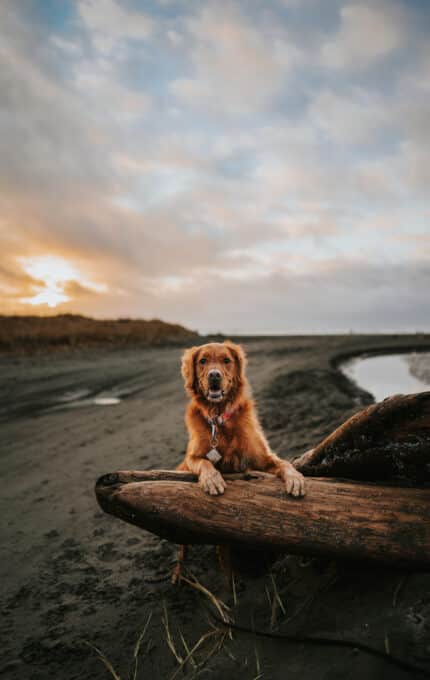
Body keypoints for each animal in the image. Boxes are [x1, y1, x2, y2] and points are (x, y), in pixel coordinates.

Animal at [171, 340, 306, 584]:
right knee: (182, 546)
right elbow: (203, 463)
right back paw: (179, 572)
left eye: (226, 360)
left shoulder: (263, 457)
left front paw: (296, 479)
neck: (218, 419)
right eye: (203, 361)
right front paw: (212, 480)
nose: (214, 376)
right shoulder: (192, 456)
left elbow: (284, 464)